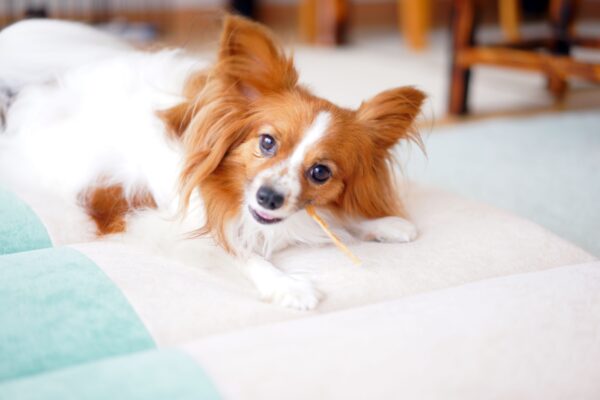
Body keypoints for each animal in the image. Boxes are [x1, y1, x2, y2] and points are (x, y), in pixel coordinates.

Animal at [0, 14, 424, 310]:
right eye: (267, 142)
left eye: (321, 172)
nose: (269, 198)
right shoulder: (164, 225)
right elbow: (241, 252)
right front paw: (286, 285)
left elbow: (335, 218)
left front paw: (383, 224)